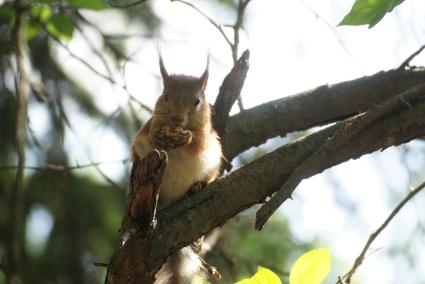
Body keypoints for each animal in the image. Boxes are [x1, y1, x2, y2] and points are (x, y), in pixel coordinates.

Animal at [130, 54, 222, 282]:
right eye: (165, 96)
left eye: (197, 101)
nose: (177, 119)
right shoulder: (150, 126)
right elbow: (151, 131)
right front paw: (157, 136)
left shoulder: (207, 134)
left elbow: (198, 141)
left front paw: (187, 138)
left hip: (213, 166)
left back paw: (197, 186)